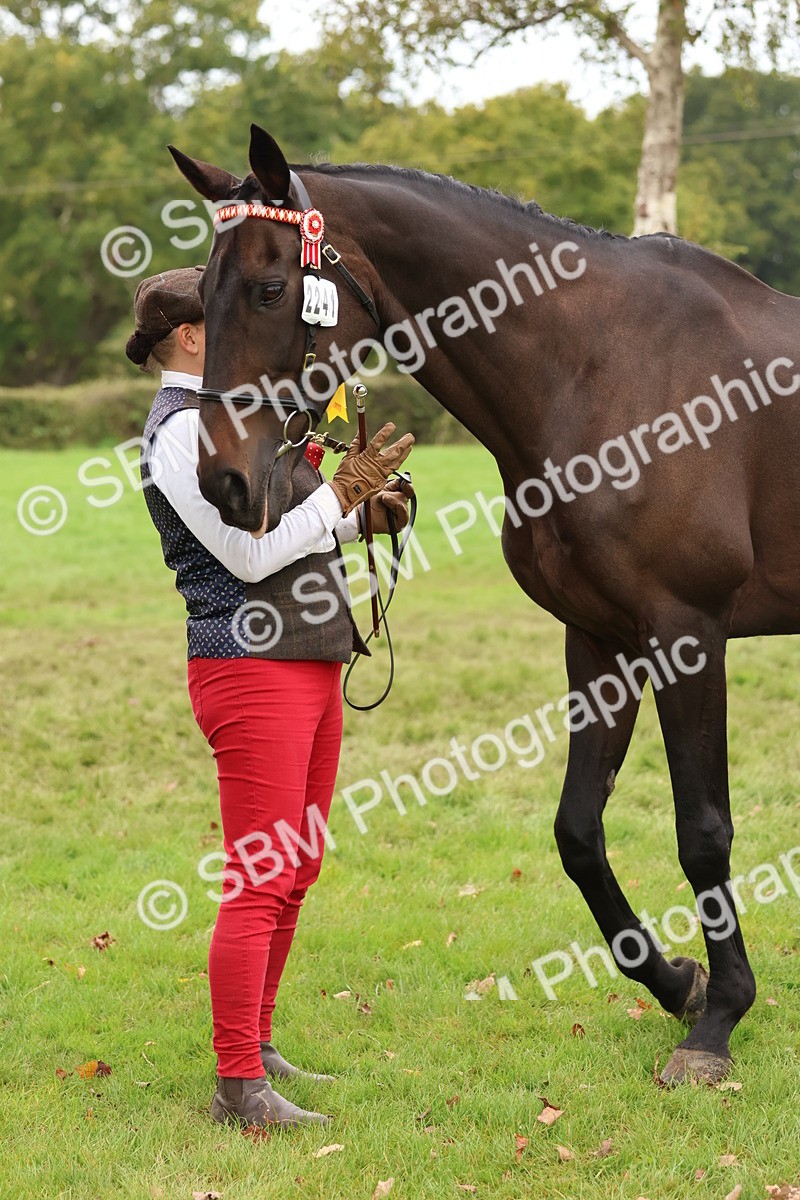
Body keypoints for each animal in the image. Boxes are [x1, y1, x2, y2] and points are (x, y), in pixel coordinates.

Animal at [167, 124, 800, 1086]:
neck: (607, 368)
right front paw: (677, 983)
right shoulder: (601, 638)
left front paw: (718, 1018)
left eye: (271, 289)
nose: (225, 486)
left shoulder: (689, 632)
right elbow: (577, 830)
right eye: (204, 293)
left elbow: (703, 830)